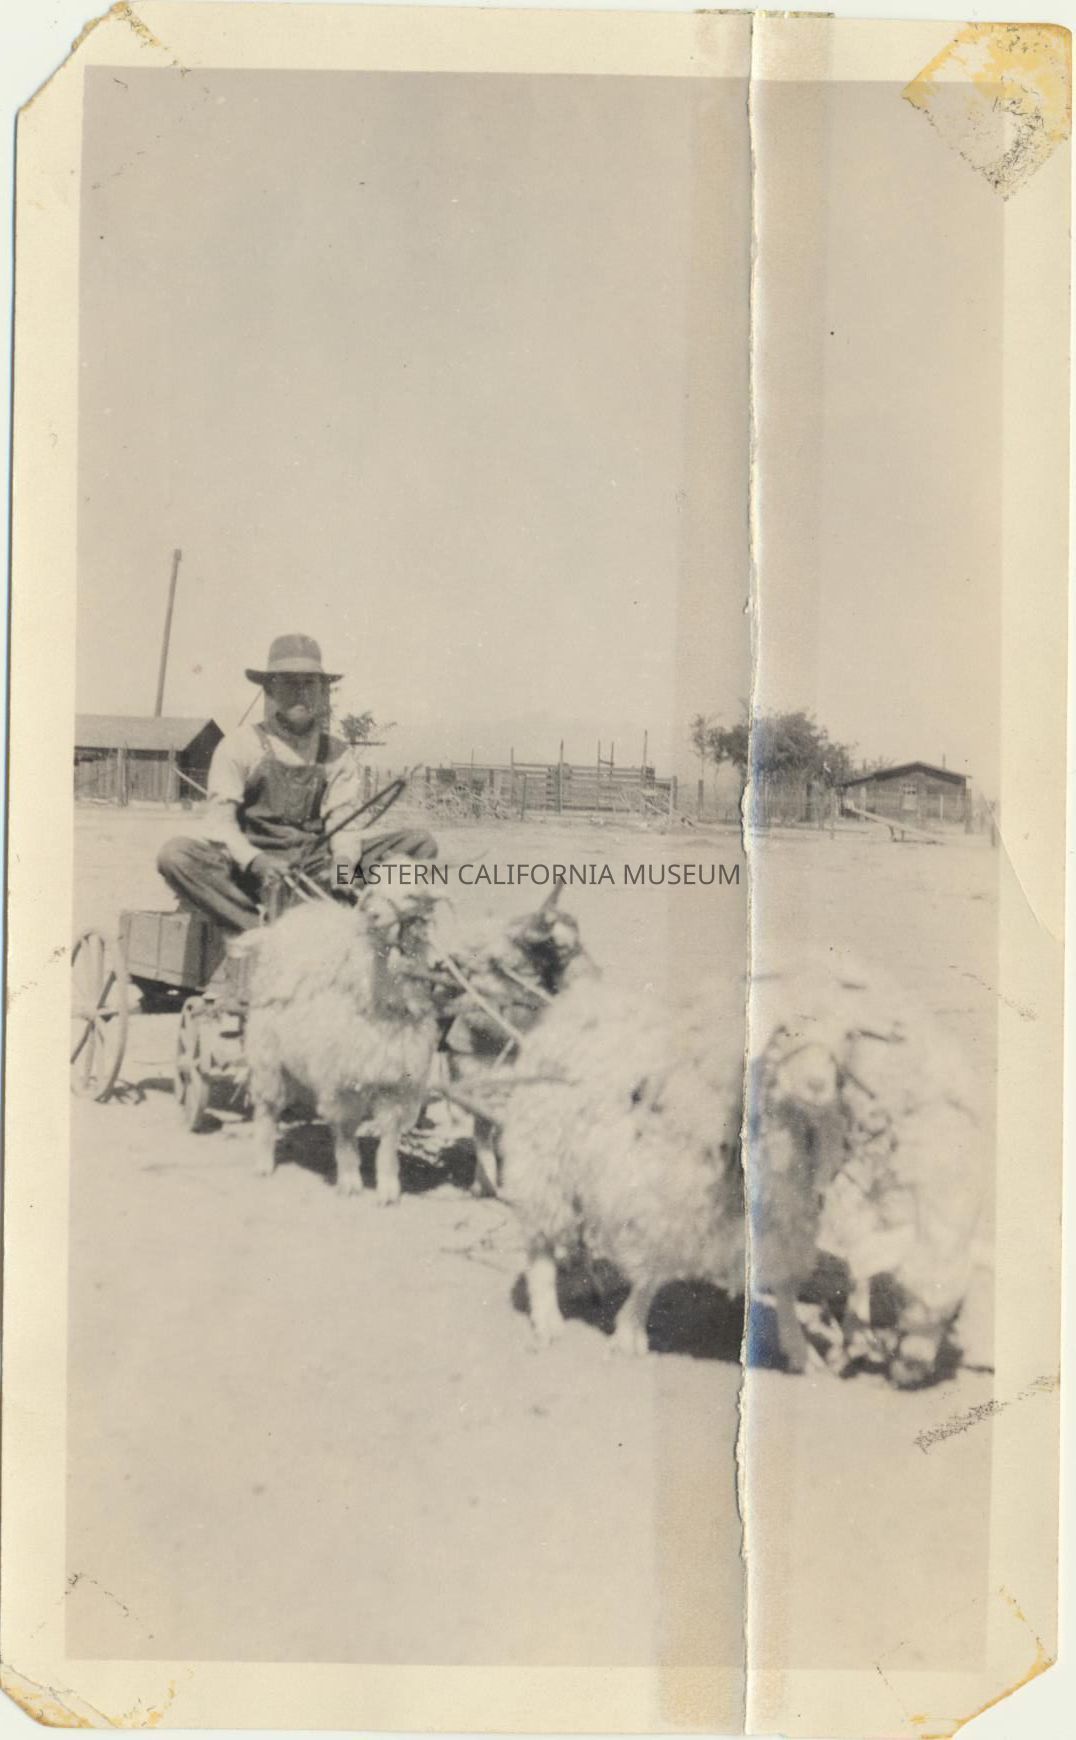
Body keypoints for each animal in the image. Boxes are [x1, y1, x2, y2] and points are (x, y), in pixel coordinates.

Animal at [242, 886, 440, 1204]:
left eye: (413, 896)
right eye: (375, 888)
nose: (373, 916)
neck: (381, 1005)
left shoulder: (395, 1084)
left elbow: (388, 1140)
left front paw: (388, 1189)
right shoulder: (342, 1082)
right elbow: (346, 1135)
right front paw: (349, 1181)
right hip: (267, 1057)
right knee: (267, 1109)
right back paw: (263, 1162)